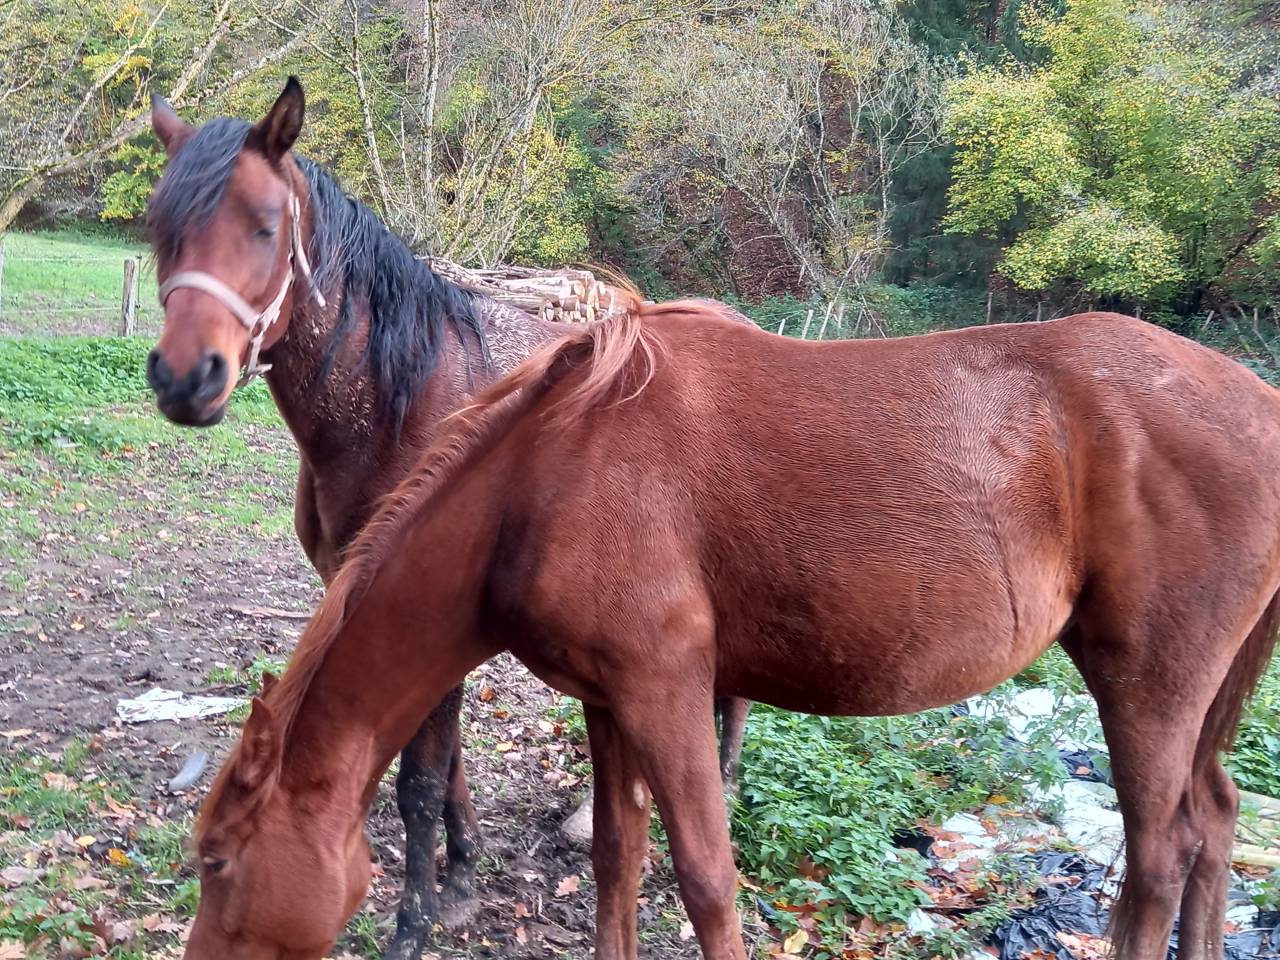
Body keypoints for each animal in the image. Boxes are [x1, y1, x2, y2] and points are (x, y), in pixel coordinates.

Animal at [141, 77, 752, 958]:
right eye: (159, 227)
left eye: (264, 226)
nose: (187, 379)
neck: (401, 398)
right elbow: (448, 759)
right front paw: (463, 872)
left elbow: (421, 779)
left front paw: (417, 920)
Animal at [181, 292, 1280, 960]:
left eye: (217, 863)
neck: (546, 479)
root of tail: (1259, 402)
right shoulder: (608, 700)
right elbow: (616, 856)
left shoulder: (668, 692)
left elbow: (706, 879)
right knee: (1215, 822)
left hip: (1146, 683)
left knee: (1159, 855)